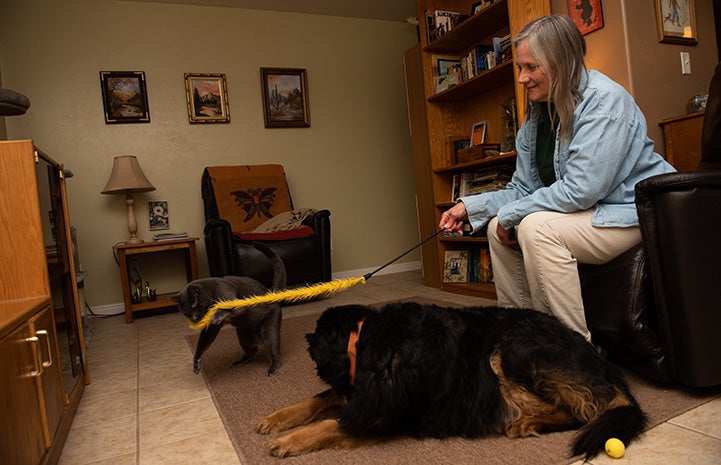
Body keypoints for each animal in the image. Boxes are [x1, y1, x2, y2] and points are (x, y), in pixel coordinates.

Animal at [172, 241, 286, 376]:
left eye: (194, 308)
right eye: (186, 313)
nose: (194, 320)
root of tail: (271, 292)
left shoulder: (230, 296)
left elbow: (225, 308)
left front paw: (215, 316)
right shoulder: (211, 329)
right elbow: (202, 344)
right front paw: (196, 365)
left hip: (269, 330)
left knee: (275, 351)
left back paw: (273, 369)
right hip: (243, 336)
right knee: (252, 351)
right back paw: (239, 362)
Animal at [255, 300, 648, 456]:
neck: (364, 338)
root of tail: (605, 365)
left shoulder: (386, 415)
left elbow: (330, 424)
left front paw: (290, 440)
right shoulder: (360, 393)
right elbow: (317, 400)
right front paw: (275, 418)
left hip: (511, 347)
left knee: (582, 411)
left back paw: (529, 422)